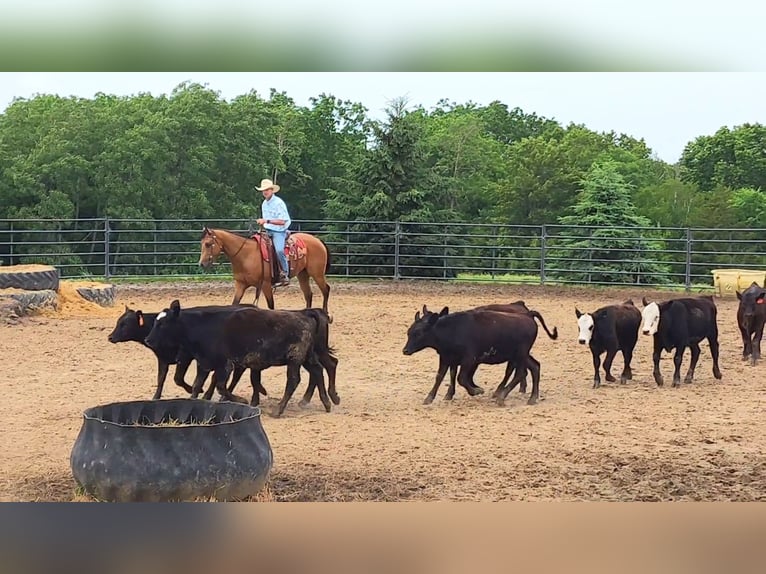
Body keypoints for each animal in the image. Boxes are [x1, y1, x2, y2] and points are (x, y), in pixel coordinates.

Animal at [200, 226, 332, 316]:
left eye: (208, 244)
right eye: (202, 243)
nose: (201, 263)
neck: (246, 255)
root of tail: (317, 240)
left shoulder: (266, 284)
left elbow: (271, 305)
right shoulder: (240, 285)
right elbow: (234, 303)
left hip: (317, 273)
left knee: (325, 289)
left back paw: (326, 314)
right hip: (303, 274)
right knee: (308, 294)